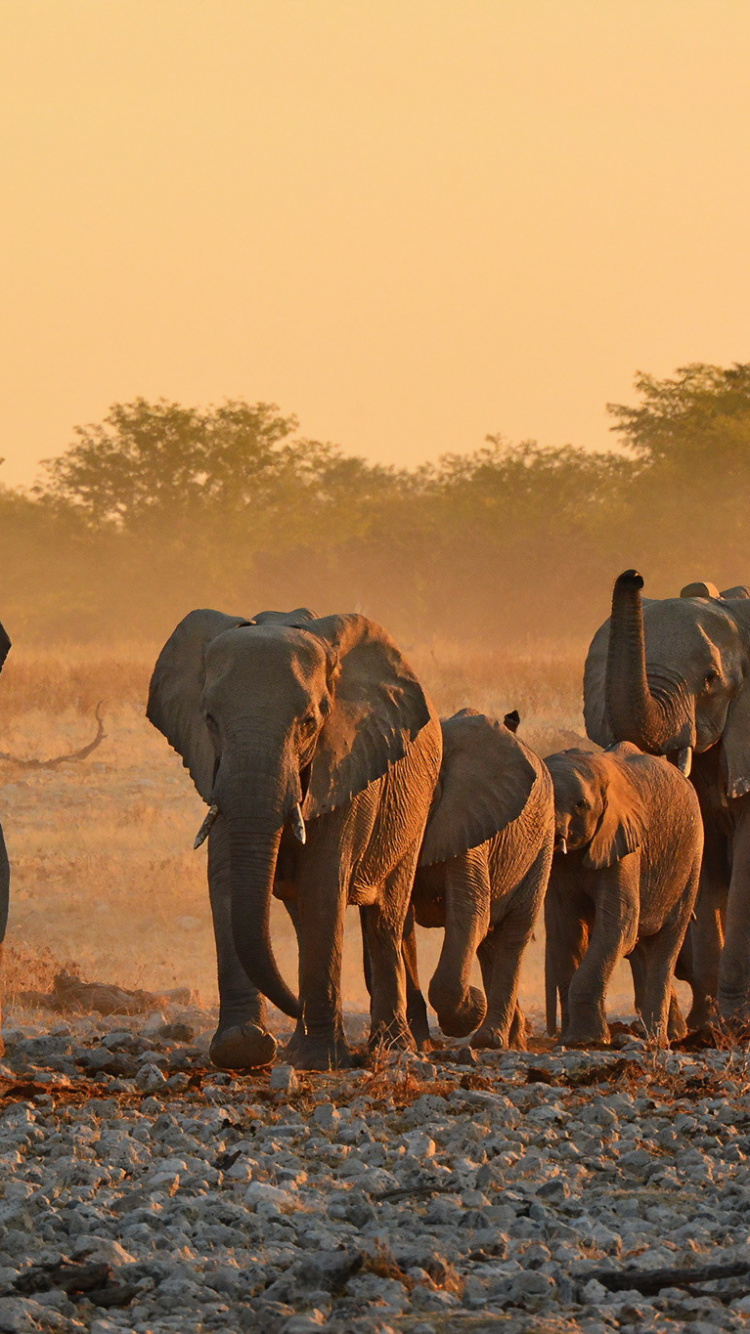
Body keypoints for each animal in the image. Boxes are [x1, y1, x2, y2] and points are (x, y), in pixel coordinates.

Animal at [147, 607, 442, 1071]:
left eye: (309, 723)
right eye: (210, 720)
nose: (293, 1007)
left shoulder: (344, 761)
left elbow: (323, 881)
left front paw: (320, 1059)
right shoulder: (218, 772)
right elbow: (227, 879)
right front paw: (243, 1048)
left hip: (415, 809)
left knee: (384, 920)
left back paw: (392, 1048)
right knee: (304, 920)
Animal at [411, 709, 554, 1049]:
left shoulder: (468, 818)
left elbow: (470, 910)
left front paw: (471, 1009)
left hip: (542, 842)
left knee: (512, 935)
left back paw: (491, 1040)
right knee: (489, 942)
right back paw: (514, 1037)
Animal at [544, 742, 703, 1045]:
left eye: (581, 805)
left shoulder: (624, 837)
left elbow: (619, 923)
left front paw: (588, 1041)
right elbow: (566, 929)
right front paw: (570, 1040)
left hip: (691, 859)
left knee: (665, 945)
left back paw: (658, 1042)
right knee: (642, 947)